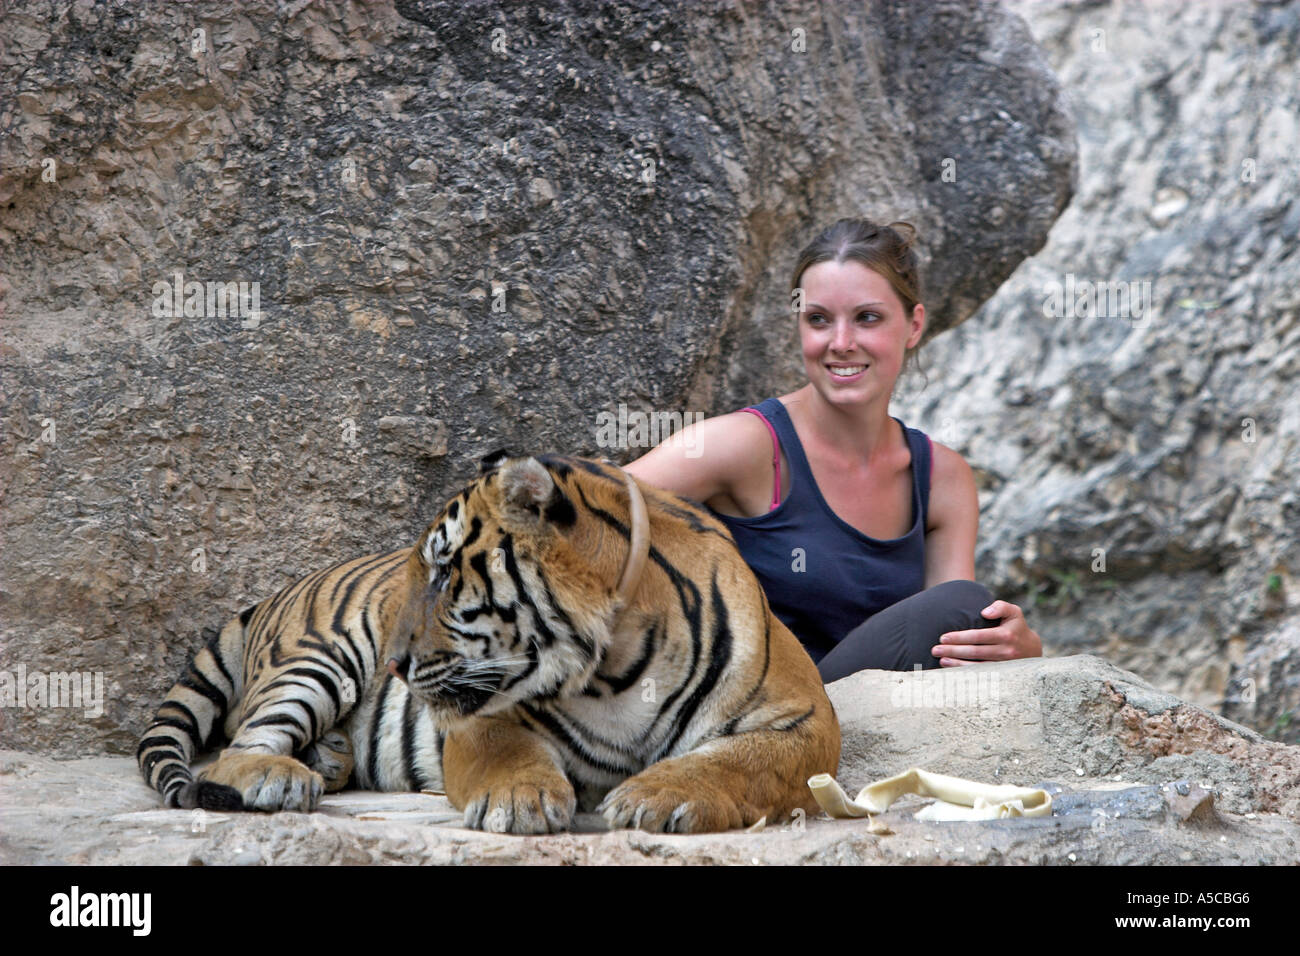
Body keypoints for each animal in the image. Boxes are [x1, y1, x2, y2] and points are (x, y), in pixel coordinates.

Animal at [137, 451, 840, 833]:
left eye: (445, 572)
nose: (395, 665)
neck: (615, 666)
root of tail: (270, 596)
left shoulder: (806, 719)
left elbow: (736, 760)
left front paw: (656, 795)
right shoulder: (477, 716)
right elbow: (508, 751)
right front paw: (519, 800)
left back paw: (328, 760)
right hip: (322, 656)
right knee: (233, 751)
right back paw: (281, 777)